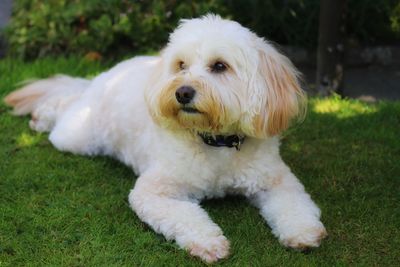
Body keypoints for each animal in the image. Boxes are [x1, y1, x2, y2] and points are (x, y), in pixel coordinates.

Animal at [4, 14, 326, 264]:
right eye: (181, 65)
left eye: (220, 66)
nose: (182, 92)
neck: (215, 141)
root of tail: (108, 74)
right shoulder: (153, 191)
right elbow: (184, 215)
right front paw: (208, 242)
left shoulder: (276, 179)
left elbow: (294, 203)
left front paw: (303, 232)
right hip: (79, 136)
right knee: (66, 104)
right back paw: (42, 116)